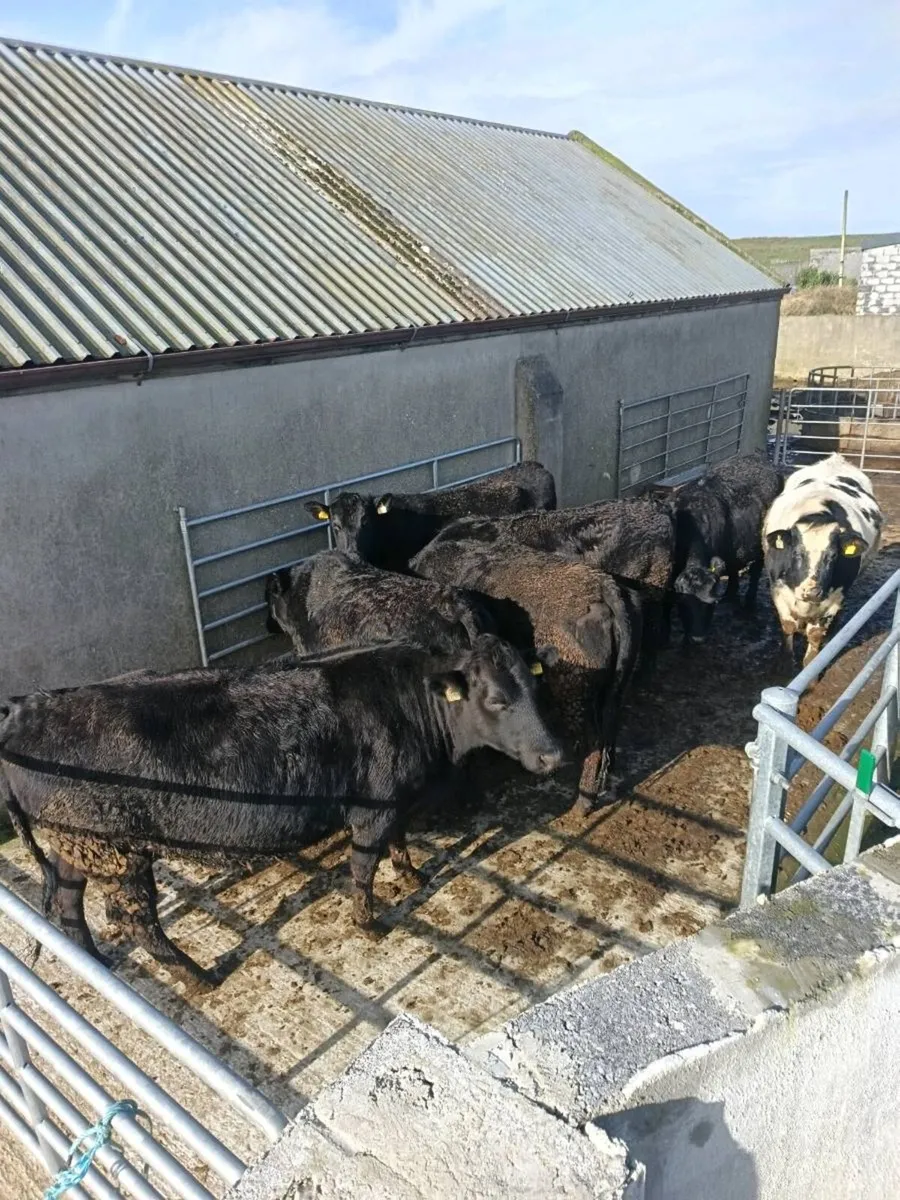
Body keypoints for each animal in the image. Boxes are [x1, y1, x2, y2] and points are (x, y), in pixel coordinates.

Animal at [0, 636, 563, 988]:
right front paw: (369, 924)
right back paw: (197, 977)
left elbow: (400, 841)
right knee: (135, 919)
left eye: (537, 688)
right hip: (117, 852)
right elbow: (363, 868)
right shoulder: (372, 808)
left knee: (69, 900)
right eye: (496, 699)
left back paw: (94, 964)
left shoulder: (395, 798)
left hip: (80, 844)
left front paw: (413, 874)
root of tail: (28, 710)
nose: (553, 755)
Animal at [411, 538, 642, 814]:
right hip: (616, 686)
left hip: (572, 690)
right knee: (611, 723)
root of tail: (604, 586)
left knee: (594, 740)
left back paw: (583, 803)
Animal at [647, 453, 784, 645]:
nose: (697, 638)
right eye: (684, 605)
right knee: (734, 567)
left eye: (711, 605)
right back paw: (731, 594)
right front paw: (664, 636)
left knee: (757, 569)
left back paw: (749, 603)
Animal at [763, 453, 882, 665]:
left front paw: (811, 666)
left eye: (833, 556)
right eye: (796, 553)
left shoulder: (835, 598)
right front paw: (785, 661)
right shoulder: (777, 589)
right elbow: (788, 626)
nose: (811, 591)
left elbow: (816, 634)